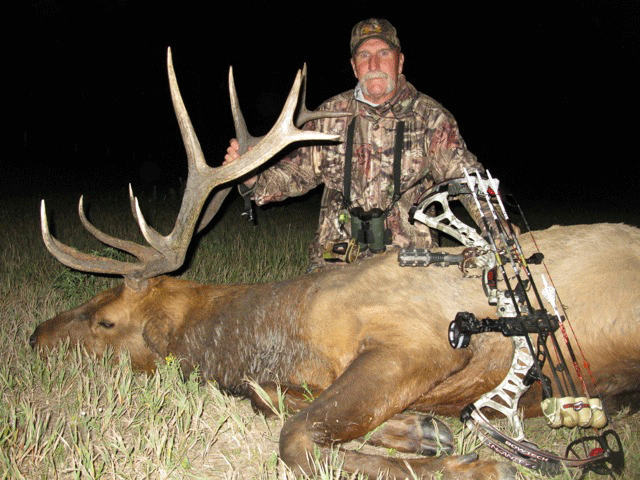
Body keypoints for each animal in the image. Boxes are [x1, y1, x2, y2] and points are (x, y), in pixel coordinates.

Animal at [31, 49, 640, 479]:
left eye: (105, 320)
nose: (35, 335)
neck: (292, 327)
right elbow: (275, 403)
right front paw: (423, 430)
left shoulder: (422, 339)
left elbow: (295, 436)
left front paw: (475, 464)